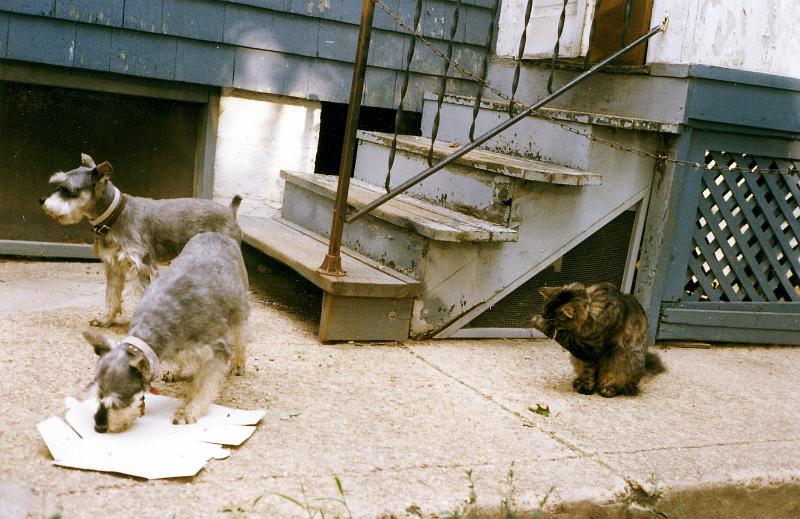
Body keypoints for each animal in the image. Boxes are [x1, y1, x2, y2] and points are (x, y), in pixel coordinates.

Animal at [532, 284, 664, 398]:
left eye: (552, 321)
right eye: (544, 313)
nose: (543, 317)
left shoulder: (589, 349)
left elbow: (589, 373)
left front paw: (586, 390)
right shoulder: (584, 355)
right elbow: (588, 372)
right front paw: (585, 386)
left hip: (623, 360)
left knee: (621, 386)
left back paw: (608, 389)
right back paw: (579, 381)